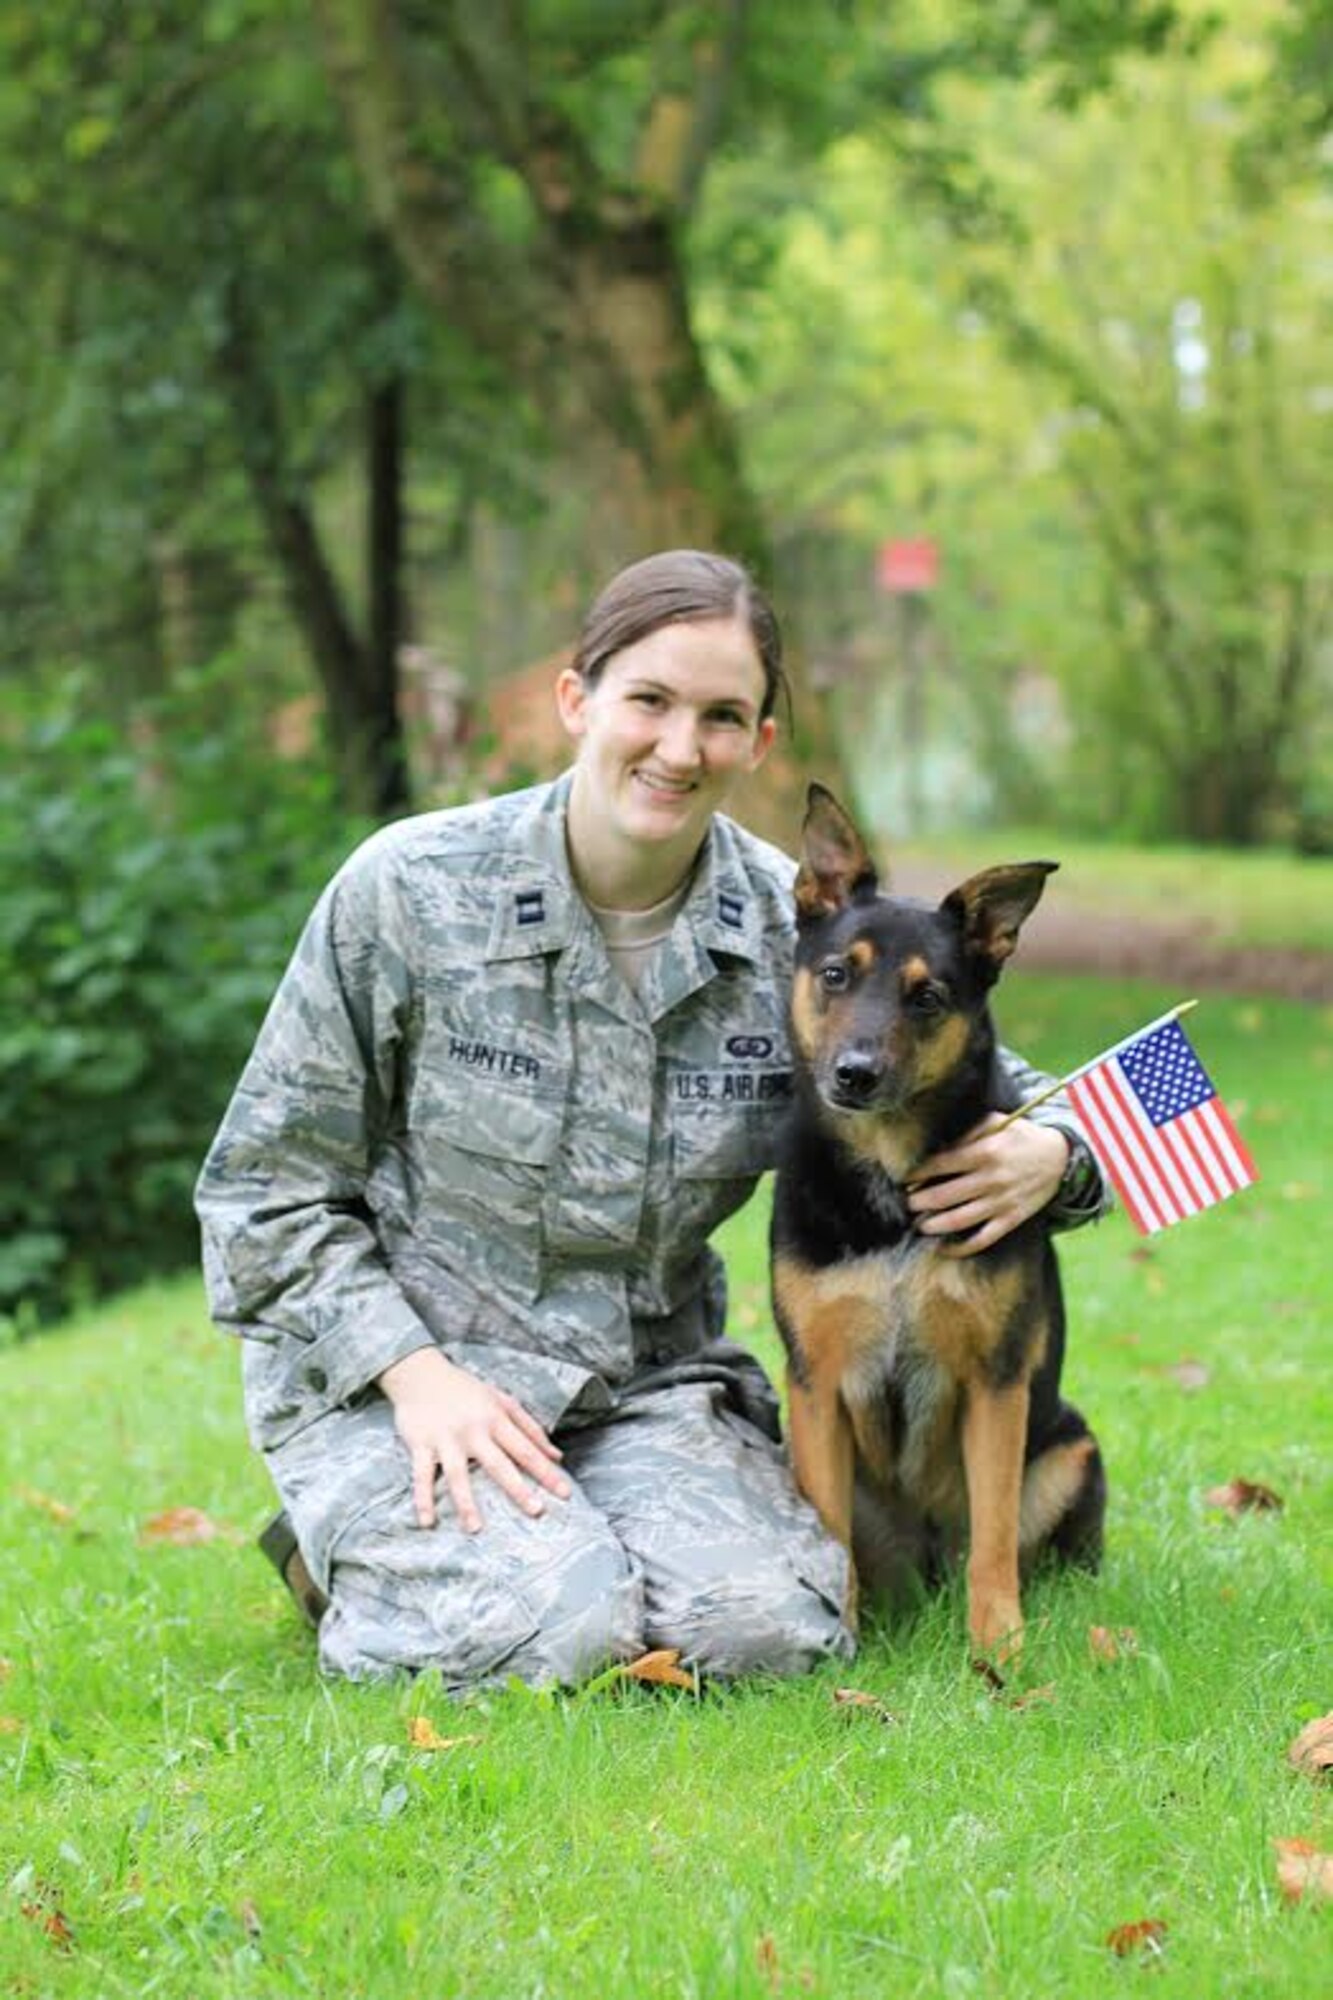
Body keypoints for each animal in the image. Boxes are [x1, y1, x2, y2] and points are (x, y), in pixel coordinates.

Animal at [768, 780, 1096, 1656]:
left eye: (927, 996)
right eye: (836, 974)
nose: (853, 1074)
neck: (894, 1186)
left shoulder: (995, 1382)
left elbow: (993, 1534)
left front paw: (999, 1651)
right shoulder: (815, 1388)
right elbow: (829, 1531)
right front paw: (839, 1639)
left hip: (1071, 1447)